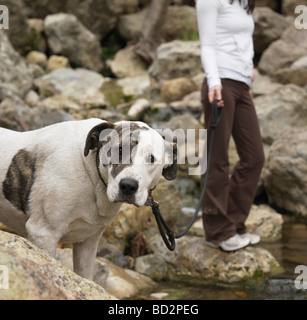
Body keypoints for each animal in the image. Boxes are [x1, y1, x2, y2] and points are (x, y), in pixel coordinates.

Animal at [0, 119, 178, 278]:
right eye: (119, 150)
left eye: (151, 158)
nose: (128, 186)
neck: (91, 176)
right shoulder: (43, 234)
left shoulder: (88, 243)